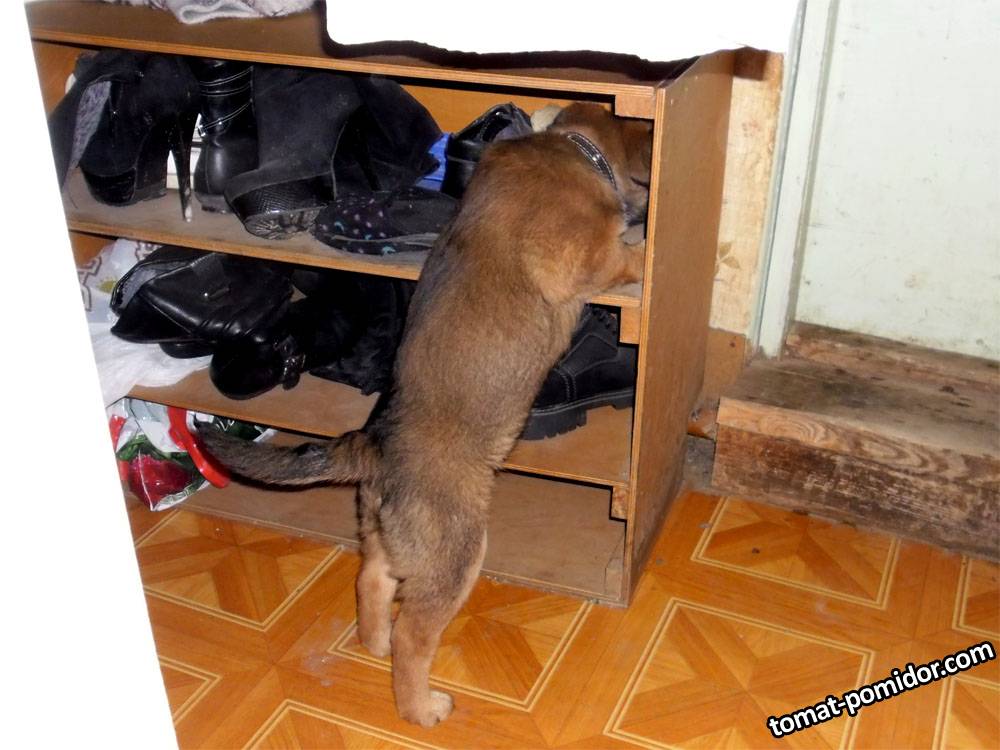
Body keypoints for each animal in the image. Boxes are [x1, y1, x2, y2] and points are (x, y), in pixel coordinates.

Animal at [197, 102, 653, 726]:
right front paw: (644, 245)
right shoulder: (588, 258)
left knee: (370, 579)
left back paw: (373, 644)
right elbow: (624, 254)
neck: (571, 147)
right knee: (413, 633)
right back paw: (420, 707)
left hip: (385, 534)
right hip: (456, 553)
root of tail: (371, 448)